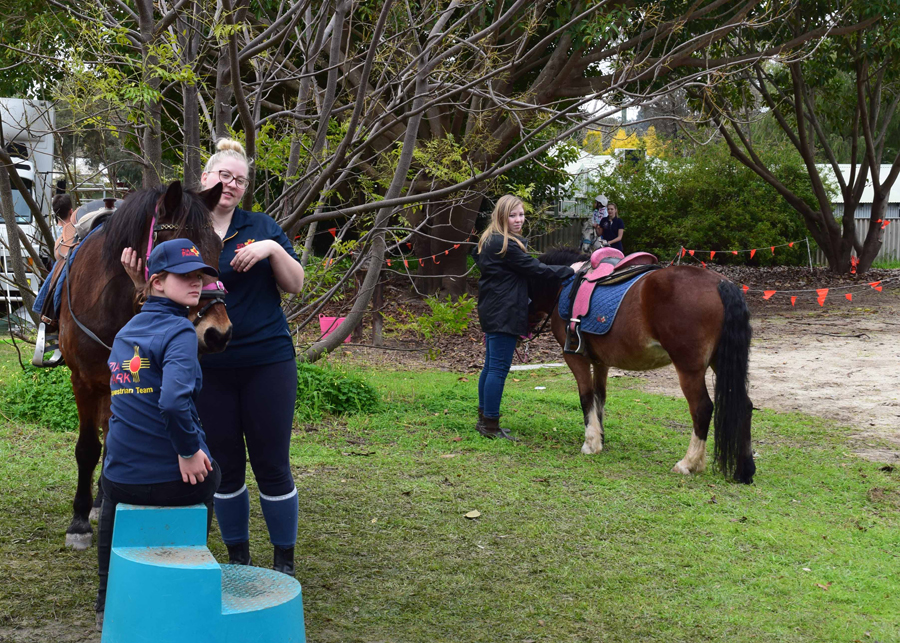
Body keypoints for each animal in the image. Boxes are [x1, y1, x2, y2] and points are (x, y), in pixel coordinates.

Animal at [59, 181, 234, 548]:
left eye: (217, 247)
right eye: (179, 248)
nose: (218, 334)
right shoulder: (82, 382)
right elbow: (87, 448)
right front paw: (78, 521)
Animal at [532, 249, 756, 486]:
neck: (564, 285)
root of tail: (721, 283)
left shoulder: (575, 357)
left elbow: (586, 397)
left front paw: (591, 443)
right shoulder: (601, 362)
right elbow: (599, 397)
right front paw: (601, 437)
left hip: (689, 368)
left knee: (702, 408)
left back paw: (688, 464)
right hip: (719, 361)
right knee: (745, 405)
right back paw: (745, 470)